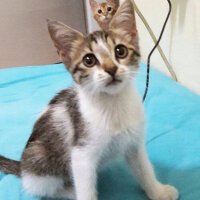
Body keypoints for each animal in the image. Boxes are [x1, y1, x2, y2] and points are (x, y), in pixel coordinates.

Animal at [0, 0, 178, 200]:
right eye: (89, 60)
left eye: (120, 51)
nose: (111, 69)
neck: (112, 104)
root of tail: (23, 168)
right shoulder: (81, 154)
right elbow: (85, 188)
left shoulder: (134, 142)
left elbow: (144, 169)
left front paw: (158, 191)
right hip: (40, 161)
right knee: (45, 188)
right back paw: (69, 190)